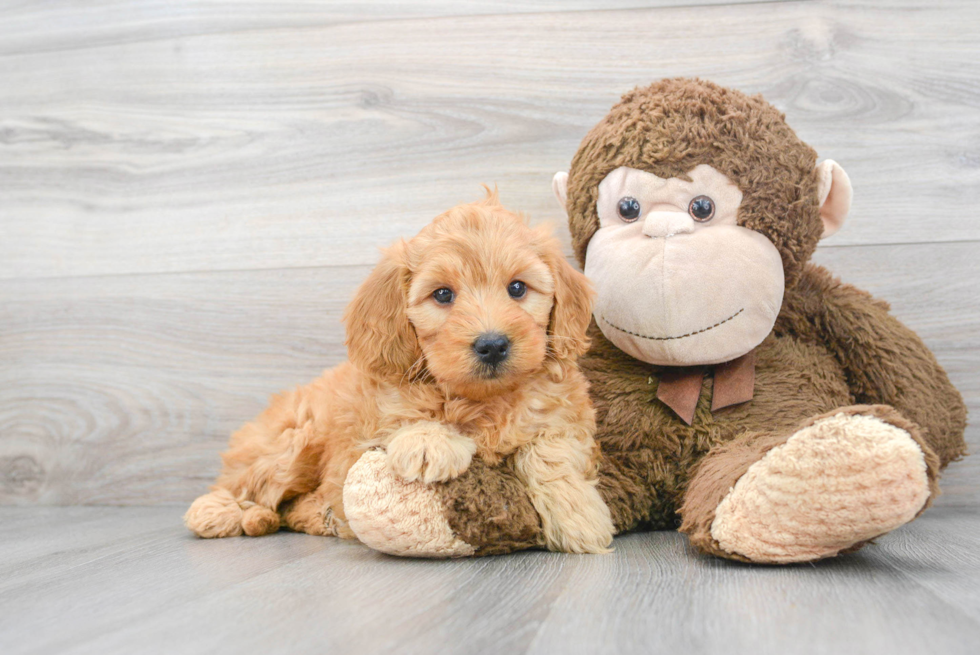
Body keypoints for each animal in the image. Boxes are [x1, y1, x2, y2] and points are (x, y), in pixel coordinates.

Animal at [184, 193, 612, 552]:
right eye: (443, 295)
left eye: (518, 288)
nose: (492, 345)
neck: (481, 401)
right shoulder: (370, 417)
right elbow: (403, 413)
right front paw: (427, 441)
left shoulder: (565, 417)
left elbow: (549, 451)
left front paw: (577, 514)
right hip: (292, 439)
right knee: (247, 485)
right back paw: (218, 513)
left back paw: (319, 517)